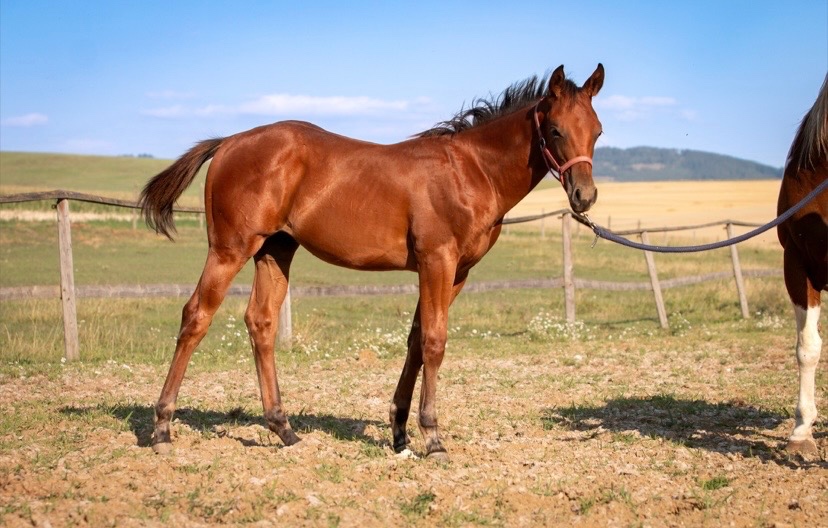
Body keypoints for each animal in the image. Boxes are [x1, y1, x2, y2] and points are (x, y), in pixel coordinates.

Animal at [140, 64, 605, 458]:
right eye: (556, 130)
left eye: (597, 131)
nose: (584, 196)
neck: (470, 171)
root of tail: (229, 141)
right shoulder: (437, 261)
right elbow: (434, 341)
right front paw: (432, 436)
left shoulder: (457, 272)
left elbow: (416, 340)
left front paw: (400, 431)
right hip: (230, 249)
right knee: (196, 316)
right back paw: (162, 428)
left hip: (275, 250)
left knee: (261, 323)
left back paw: (283, 428)